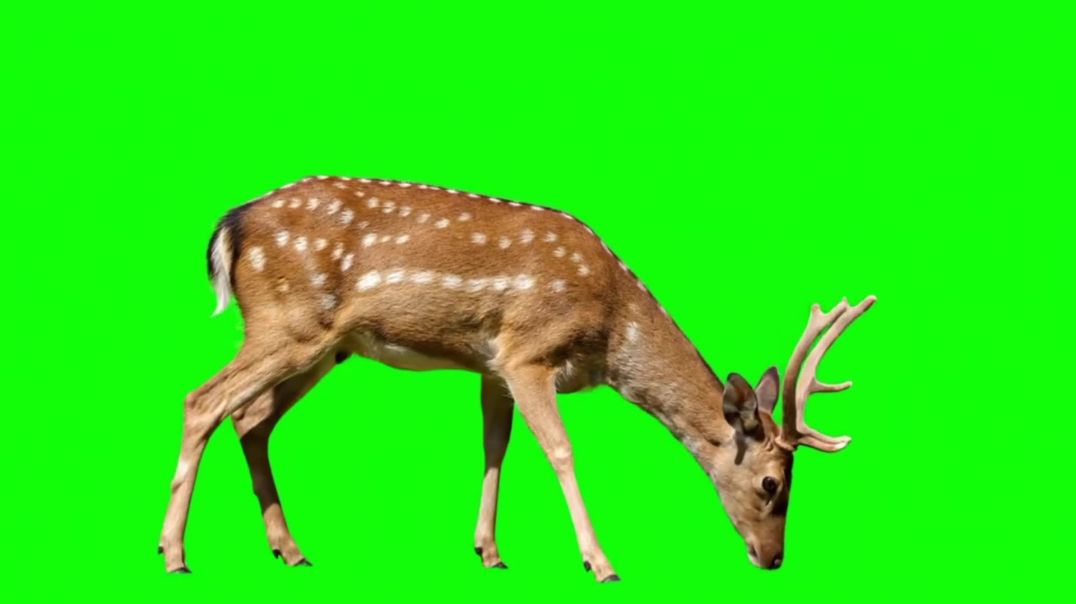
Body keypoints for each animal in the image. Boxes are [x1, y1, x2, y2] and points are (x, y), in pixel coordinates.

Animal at [159, 175, 876, 582]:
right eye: (772, 483)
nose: (773, 559)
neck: (611, 331)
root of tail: (229, 227)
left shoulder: (492, 363)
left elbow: (495, 446)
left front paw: (490, 552)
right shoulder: (529, 349)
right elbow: (560, 449)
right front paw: (601, 563)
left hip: (323, 346)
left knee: (250, 418)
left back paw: (291, 550)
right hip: (289, 322)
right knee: (202, 401)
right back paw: (175, 554)